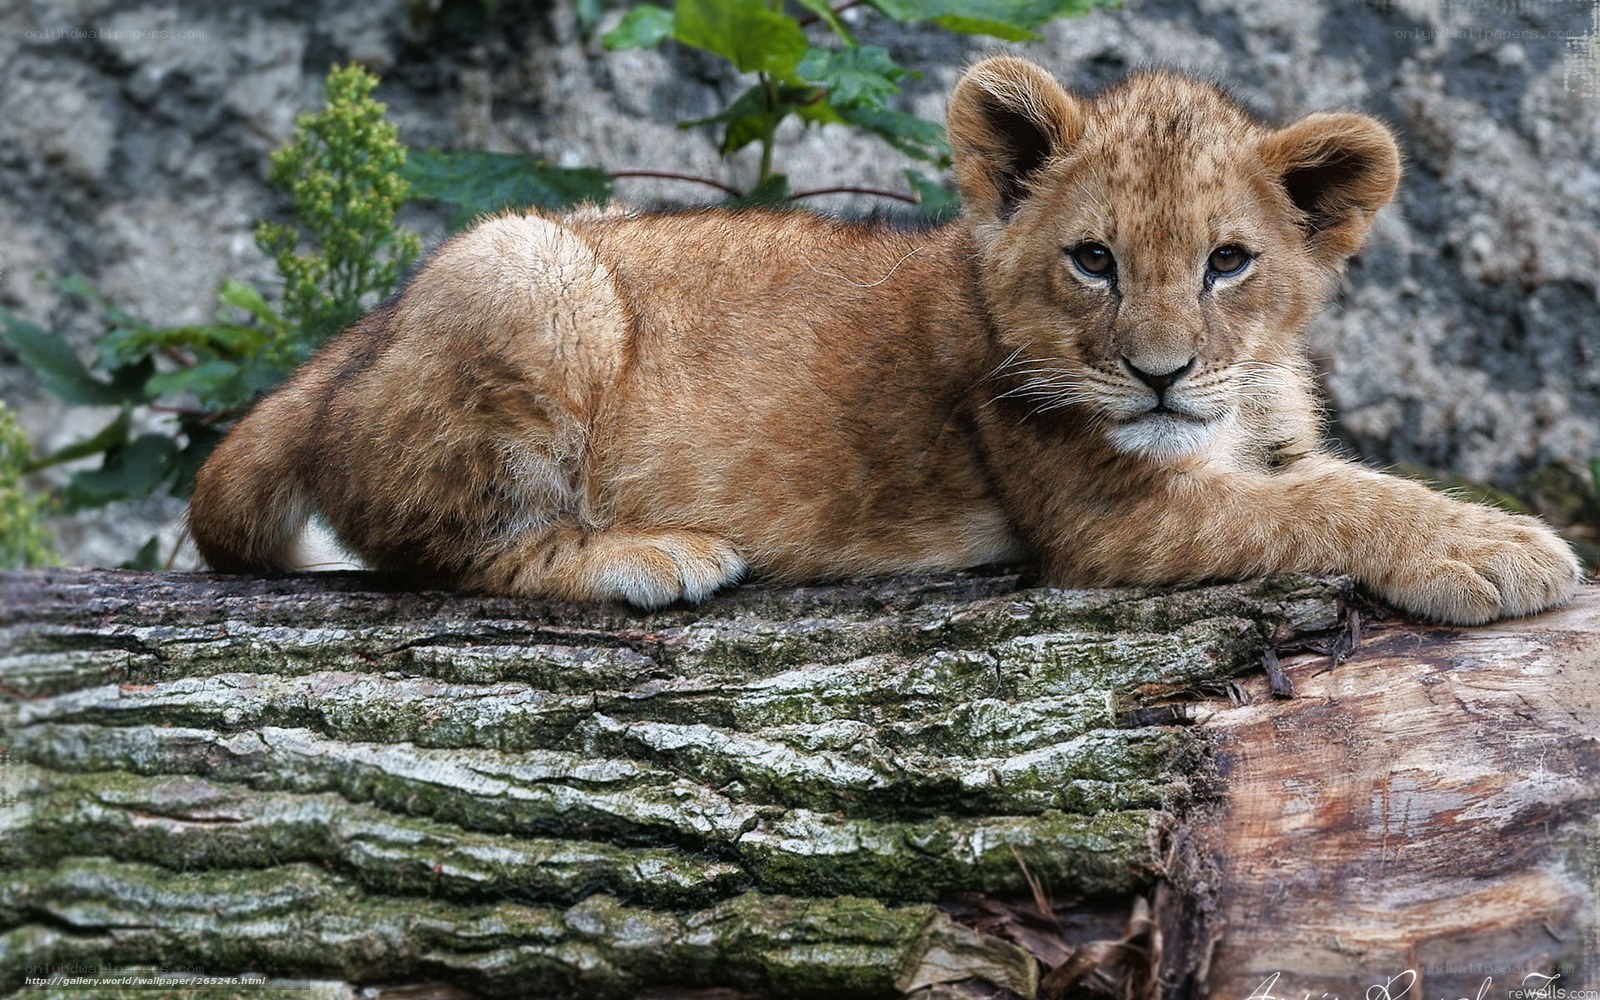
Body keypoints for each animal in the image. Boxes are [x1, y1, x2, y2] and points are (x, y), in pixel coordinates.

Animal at [188, 56, 1583, 625]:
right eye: (1093, 260)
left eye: (1227, 263)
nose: (1158, 374)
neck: (1234, 403)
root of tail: (355, 344)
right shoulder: (1106, 525)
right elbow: (1332, 503)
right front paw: (1497, 548)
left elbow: (1333, 479)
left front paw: (1478, 529)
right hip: (527, 266)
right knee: (442, 547)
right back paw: (649, 554)